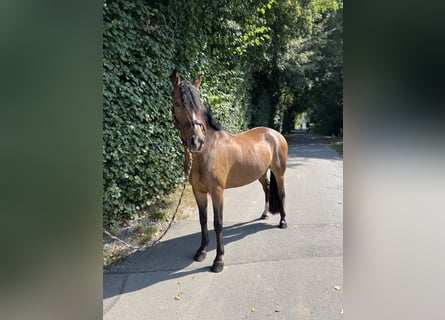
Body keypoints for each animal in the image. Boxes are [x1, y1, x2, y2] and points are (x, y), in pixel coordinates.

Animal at [170, 70, 288, 272]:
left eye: (199, 105)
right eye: (177, 103)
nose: (196, 142)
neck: (206, 151)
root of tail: (274, 133)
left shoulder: (217, 191)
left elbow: (218, 223)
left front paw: (218, 260)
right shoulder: (198, 191)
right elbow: (203, 220)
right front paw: (201, 251)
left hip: (279, 172)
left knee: (281, 194)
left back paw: (283, 222)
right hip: (261, 174)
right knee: (266, 189)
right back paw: (264, 214)